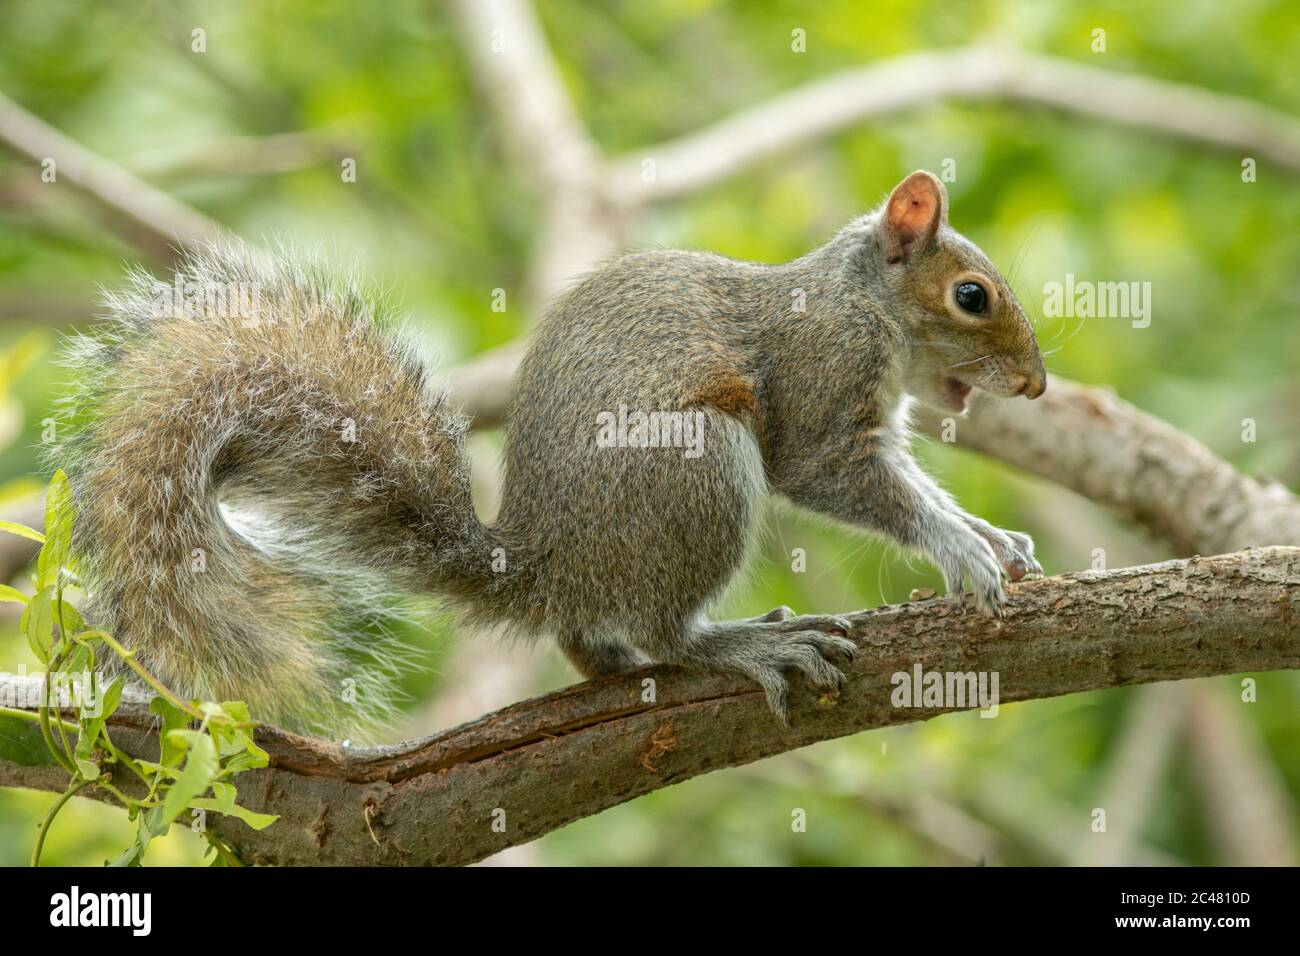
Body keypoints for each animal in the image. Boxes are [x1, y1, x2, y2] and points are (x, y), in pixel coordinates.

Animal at [53, 170, 1045, 734]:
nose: (1036, 386)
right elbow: (845, 478)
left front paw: (993, 540)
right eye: (971, 295)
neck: (860, 303)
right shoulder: (821, 388)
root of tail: (546, 565)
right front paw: (962, 551)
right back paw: (737, 645)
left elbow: (920, 487)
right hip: (696, 470)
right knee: (663, 633)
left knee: (596, 643)